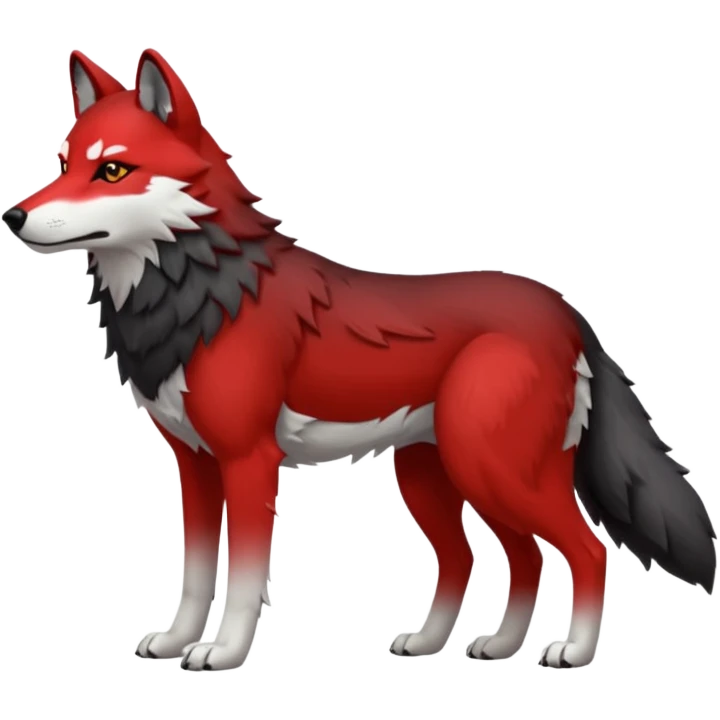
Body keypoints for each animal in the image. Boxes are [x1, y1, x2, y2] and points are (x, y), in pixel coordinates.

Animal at [2, 48, 717, 672]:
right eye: (63, 163)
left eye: (112, 172)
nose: (13, 216)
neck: (202, 300)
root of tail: (567, 313)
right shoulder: (196, 465)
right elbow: (197, 573)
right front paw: (176, 641)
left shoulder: (249, 462)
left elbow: (244, 578)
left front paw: (223, 654)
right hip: (441, 476)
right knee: (501, 559)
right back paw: (471, 645)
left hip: (494, 471)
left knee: (585, 551)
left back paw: (570, 652)